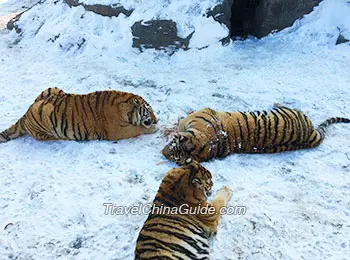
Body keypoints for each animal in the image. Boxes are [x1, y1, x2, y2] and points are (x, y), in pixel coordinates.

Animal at [0, 88, 157, 143]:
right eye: (149, 111)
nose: (156, 120)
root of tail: (25, 114)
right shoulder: (118, 131)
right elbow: (137, 129)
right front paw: (153, 129)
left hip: (51, 90)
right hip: (46, 112)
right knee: (47, 137)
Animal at [161, 104, 350, 164]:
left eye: (173, 147)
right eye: (175, 159)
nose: (162, 153)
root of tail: (310, 135)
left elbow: (182, 120)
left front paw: (172, 127)